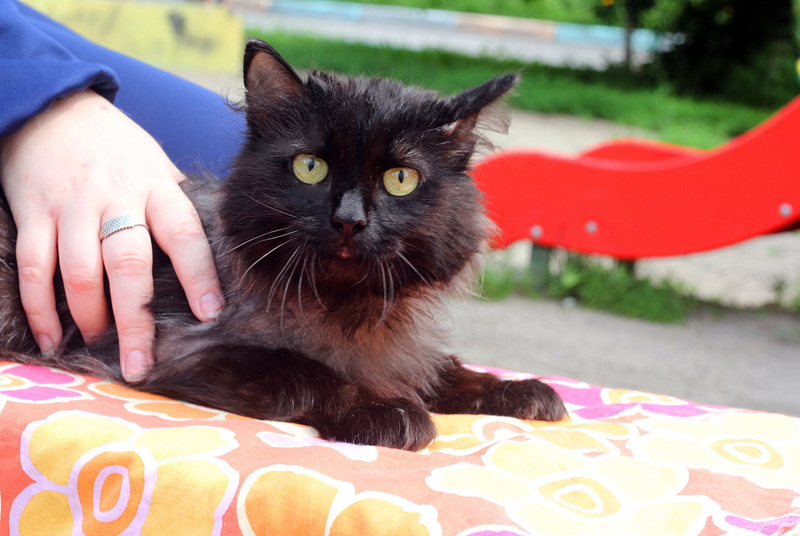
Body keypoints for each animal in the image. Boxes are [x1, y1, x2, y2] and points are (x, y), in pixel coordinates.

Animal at [0, 39, 566, 450]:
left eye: (400, 179)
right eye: (309, 167)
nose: (349, 220)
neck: (344, 308)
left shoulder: (403, 351)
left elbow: (444, 369)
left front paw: (516, 390)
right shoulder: (179, 350)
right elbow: (306, 371)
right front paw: (386, 410)